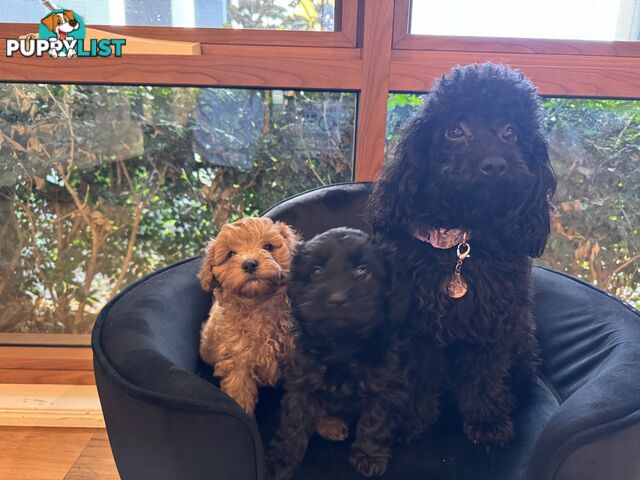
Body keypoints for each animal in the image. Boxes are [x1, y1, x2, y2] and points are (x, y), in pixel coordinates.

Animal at [198, 218, 300, 416]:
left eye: (268, 247)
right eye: (230, 254)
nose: (250, 264)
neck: (258, 305)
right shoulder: (238, 367)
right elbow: (240, 398)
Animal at [268, 228, 432, 476]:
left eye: (362, 270)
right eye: (316, 271)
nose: (337, 299)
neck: (343, 343)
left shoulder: (385, 384)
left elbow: (377, 420)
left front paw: (369, 455)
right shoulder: (301, 380)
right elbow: (293, 421)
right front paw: (281, 459)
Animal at [368, 62, 556, 446]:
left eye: (511, 132)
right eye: (455, 130)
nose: (495, 164)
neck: (460, 243)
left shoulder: (494, 324)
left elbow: (485, 375)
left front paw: (488, 423)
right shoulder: (416, 329)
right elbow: (415, 378)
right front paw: (410, 421)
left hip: (522, 339)